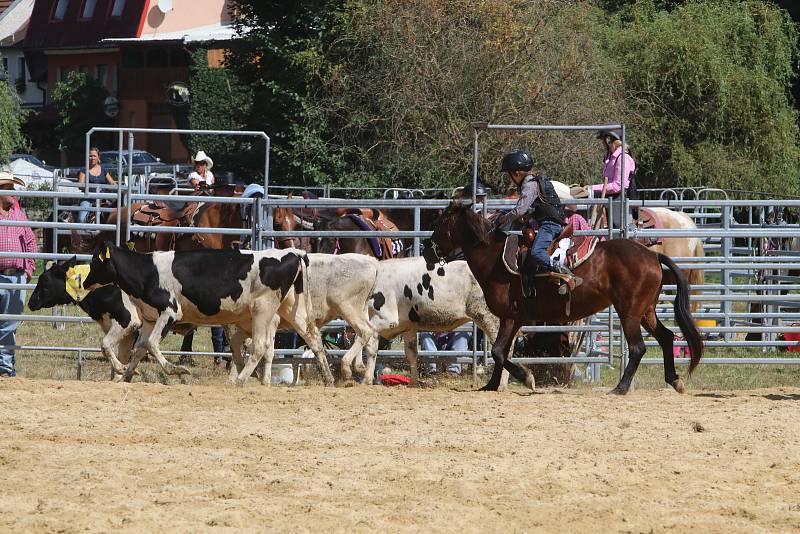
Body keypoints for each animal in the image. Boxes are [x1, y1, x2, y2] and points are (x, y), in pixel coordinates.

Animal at [81, 245, 332, 388]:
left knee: (260, 347)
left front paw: (176, 370)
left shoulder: (170, 311)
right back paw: (328, 379)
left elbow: (151, 345)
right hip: (292, 310)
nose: (84, 283)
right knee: (314, 339)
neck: (147, 271)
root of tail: (292, 253)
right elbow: (140, 348)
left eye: (94, 261)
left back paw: (240, 381)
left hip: (263, 309)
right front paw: (126, 374)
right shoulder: (151, 318)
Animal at [422, 203, 704, 396]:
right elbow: (500, 351)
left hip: (630, 312)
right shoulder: (512, 319)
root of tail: (651, 255)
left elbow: (499, 351)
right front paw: (491, 386)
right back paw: (674, 380)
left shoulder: (511, 317)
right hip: (646, 311)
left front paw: (526, 377)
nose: (426, 251)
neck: (496, 260)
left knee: (638, 348)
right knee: (666, 337)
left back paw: (621, 388)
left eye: (441, 224)